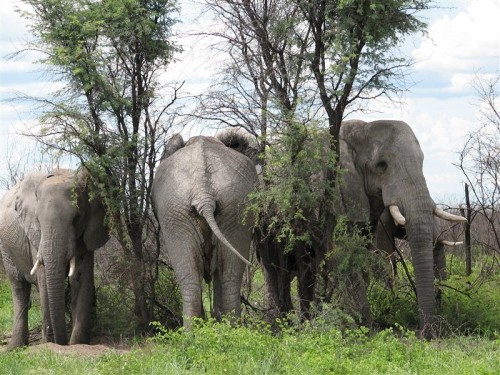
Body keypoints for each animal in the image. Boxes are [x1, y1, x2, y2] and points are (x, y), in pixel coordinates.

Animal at [0, 170, 109, 350]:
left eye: (77, 218)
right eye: (38, 220)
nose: (61, 343)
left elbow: (82, 278)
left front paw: (76, 343)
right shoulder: (36, 236)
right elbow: (44, 279)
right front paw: (50, 342)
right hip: (5, 247)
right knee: (19, 287)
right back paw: (15, 348)